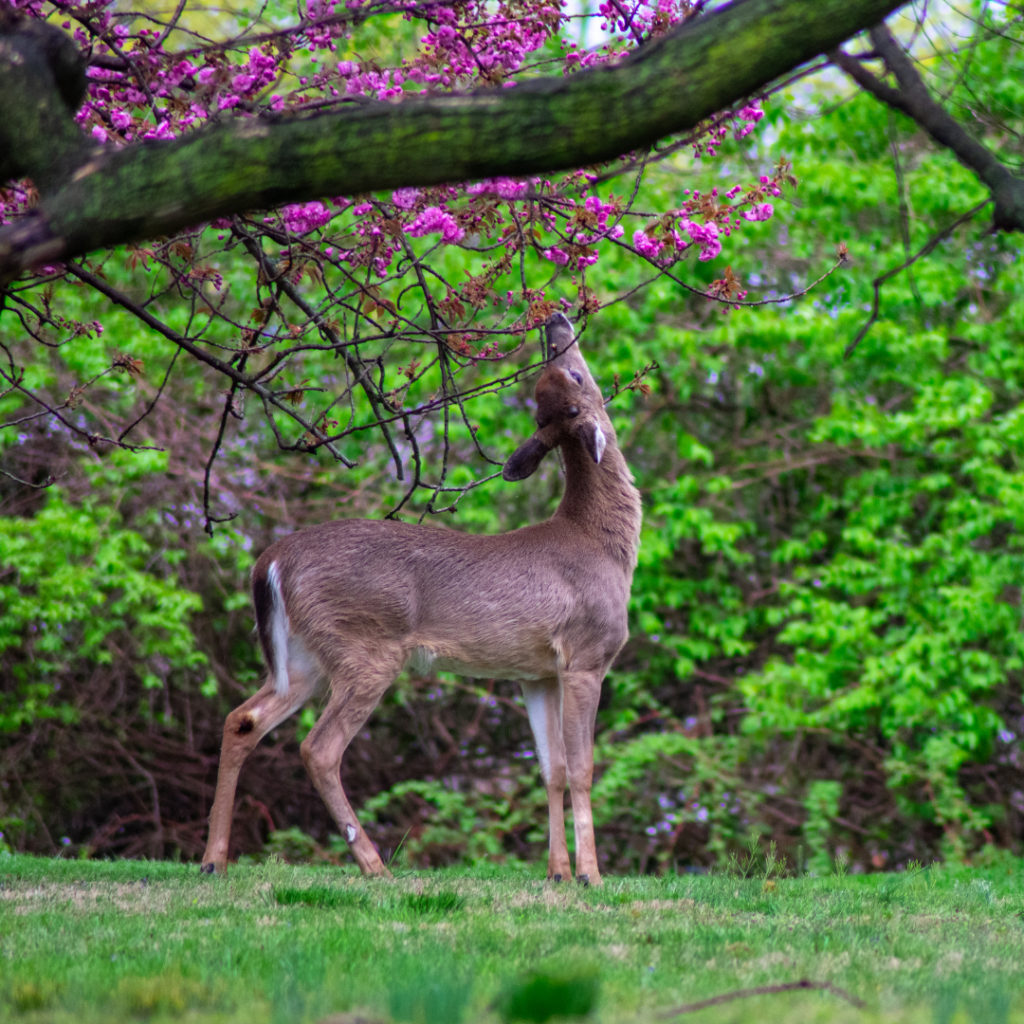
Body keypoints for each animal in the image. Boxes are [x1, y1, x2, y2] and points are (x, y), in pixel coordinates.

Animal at [200, 312, 642, 885]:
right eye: (577, 374)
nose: (555, 320)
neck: (602, 544)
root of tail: (268, 562)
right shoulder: (587, 655)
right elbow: (584, 767)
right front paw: (590, 875)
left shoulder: (537, 672)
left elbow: (553, 770)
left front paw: (557, 874)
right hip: (365, 647)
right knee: (318, 748)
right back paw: (374, 867)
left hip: (302, 656)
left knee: (243, 719)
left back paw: (213, 860)